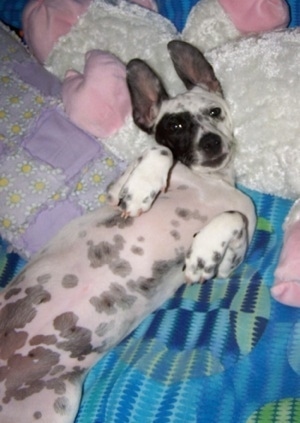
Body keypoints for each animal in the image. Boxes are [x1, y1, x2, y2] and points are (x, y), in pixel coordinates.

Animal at [0, 40, 255, 423]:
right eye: (175, 124)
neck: (209, 183)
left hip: (49, 406)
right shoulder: (115, 189)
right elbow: (158, 151)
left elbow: (232, 219)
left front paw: (203, 252)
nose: (211, 142)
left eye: (214, 112)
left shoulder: (230, 262)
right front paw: (144, 188)